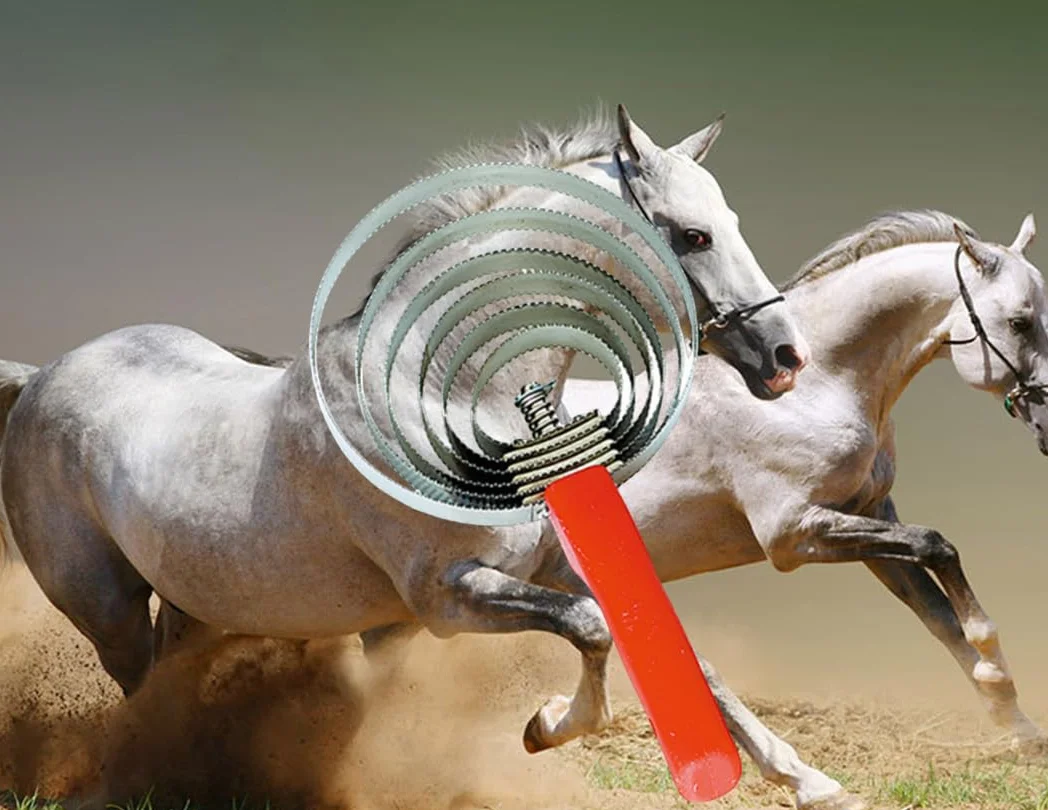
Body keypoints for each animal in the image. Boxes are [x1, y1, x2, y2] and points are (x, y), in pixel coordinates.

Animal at [0, 104, 808, 766]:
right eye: (693, 235)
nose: (785, 356)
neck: (447, 391)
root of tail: (41, 377)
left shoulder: (512, 581)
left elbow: (631, 629)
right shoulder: (446, 597)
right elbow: (590, 627)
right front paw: (548, 727)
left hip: (194, 603)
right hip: (108, 612)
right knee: (136, 689)